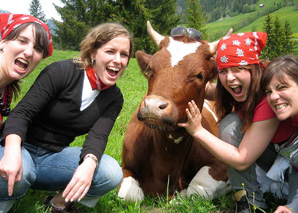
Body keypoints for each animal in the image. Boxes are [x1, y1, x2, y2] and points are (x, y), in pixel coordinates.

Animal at [117, 21, 232, 201]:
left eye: (200, 75)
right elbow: (129, 194)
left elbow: (197, 190)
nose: (153, 106)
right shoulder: (126, 164)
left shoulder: (223, 164)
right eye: (150, 68)